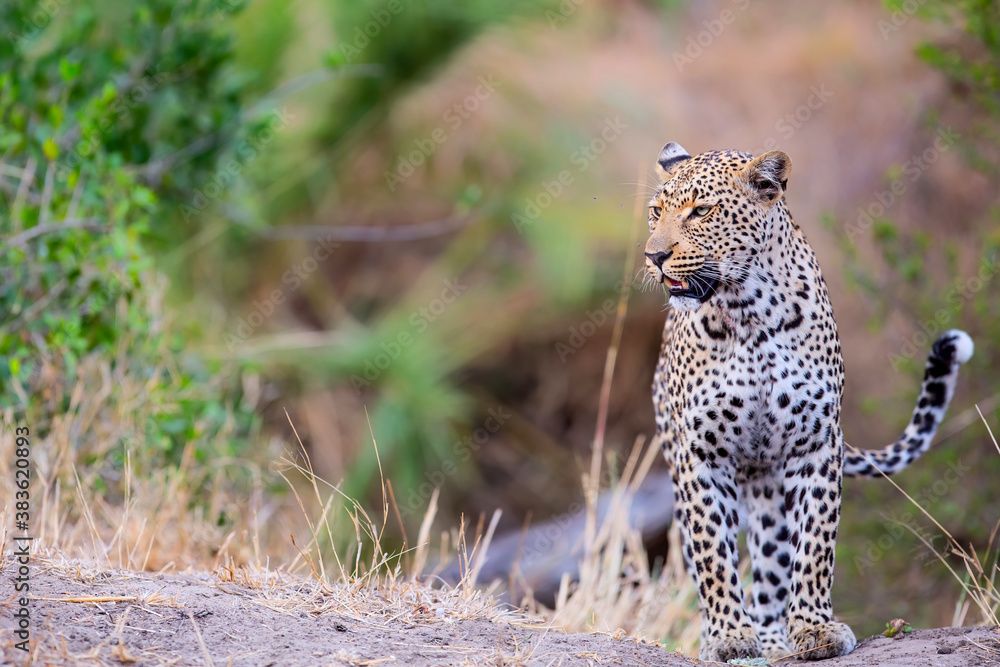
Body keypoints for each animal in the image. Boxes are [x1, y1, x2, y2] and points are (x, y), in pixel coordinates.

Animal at [644, 142, 974, 661]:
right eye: (656, 212)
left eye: (701, 211)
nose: (654, 255)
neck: (745, 312)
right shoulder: (700, 453)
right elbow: (712, 550)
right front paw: (728, 636)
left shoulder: (815, 444)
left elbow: (816, 543)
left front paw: (816, 629)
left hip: (769, 487)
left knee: (772, 566)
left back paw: (775, 639)